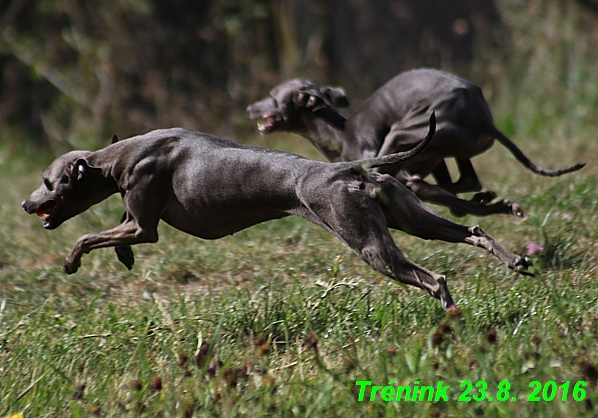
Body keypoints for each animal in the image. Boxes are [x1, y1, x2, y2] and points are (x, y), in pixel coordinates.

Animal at [22, 115, 536, 310]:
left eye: (48, 181)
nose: (26, 204)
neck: (121, 155)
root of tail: (350, 168)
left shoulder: (143, 225)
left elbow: (87, 236)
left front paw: (71, 262)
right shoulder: (137, 224)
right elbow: (112, 236)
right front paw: (123, 259)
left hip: (370, 245)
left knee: (434, 279)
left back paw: (450, 314)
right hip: (412, 220)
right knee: (473, 229)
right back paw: (516, 261)